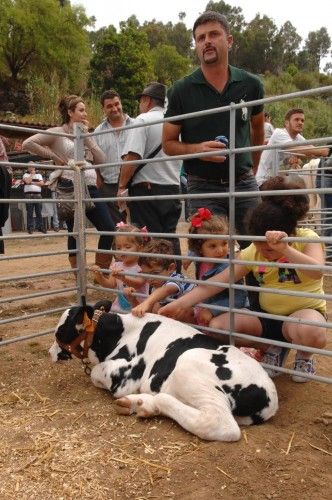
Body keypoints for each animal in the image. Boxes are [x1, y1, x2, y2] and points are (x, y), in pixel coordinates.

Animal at [50, 304, 278, 442]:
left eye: (60, 332)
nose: (50, 353)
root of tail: (270, 396)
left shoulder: (127, 375)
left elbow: (96, 373)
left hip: (189, 363)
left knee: (219, 423)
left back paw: (153, 401)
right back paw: (140, 404)